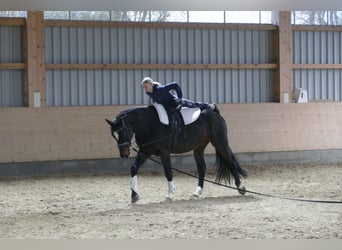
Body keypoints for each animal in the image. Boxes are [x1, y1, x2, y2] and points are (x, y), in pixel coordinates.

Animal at [105, 104, 247, 202]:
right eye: (113, 135)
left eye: (123, 131)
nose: (124, 153)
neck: (150, 124)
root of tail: (214, 112)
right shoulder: (145, 152)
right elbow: (134, 168)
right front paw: (134, 195)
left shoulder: (164, 152)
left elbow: (168, 171)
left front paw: (169, 195)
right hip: (199, 147)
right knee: (202, 167)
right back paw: (197, 193)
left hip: (219, 142)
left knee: (230, 160)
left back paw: (241, 187)